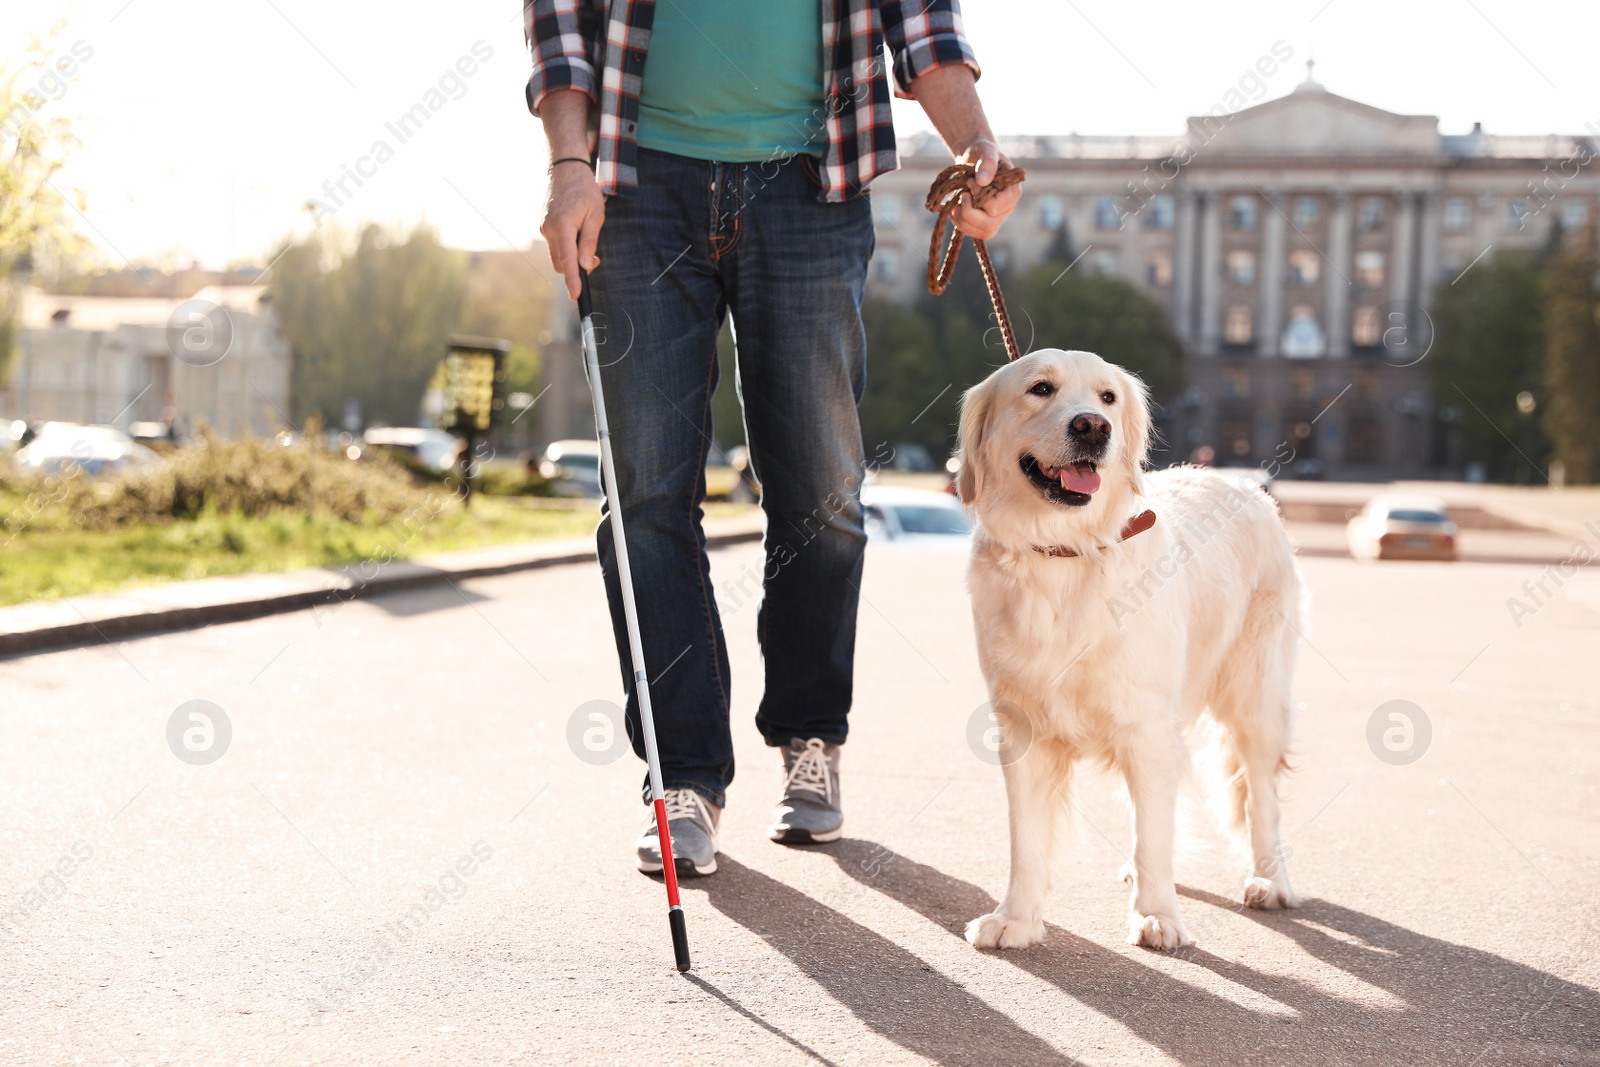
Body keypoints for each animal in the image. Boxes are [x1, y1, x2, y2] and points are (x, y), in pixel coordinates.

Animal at [947, 350, 1299, 953]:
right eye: (1040, 389)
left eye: (1108, 397)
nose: (1093, 426)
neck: (1066, 552)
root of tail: (1246, 487)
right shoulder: (1023, 730)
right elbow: (1027, 841)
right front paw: (1015, 919)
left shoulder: (1147, 727)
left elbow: (1156, 831)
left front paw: (1157, 915)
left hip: (1254, 697)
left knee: (1262, 797)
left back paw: (1269, 882)